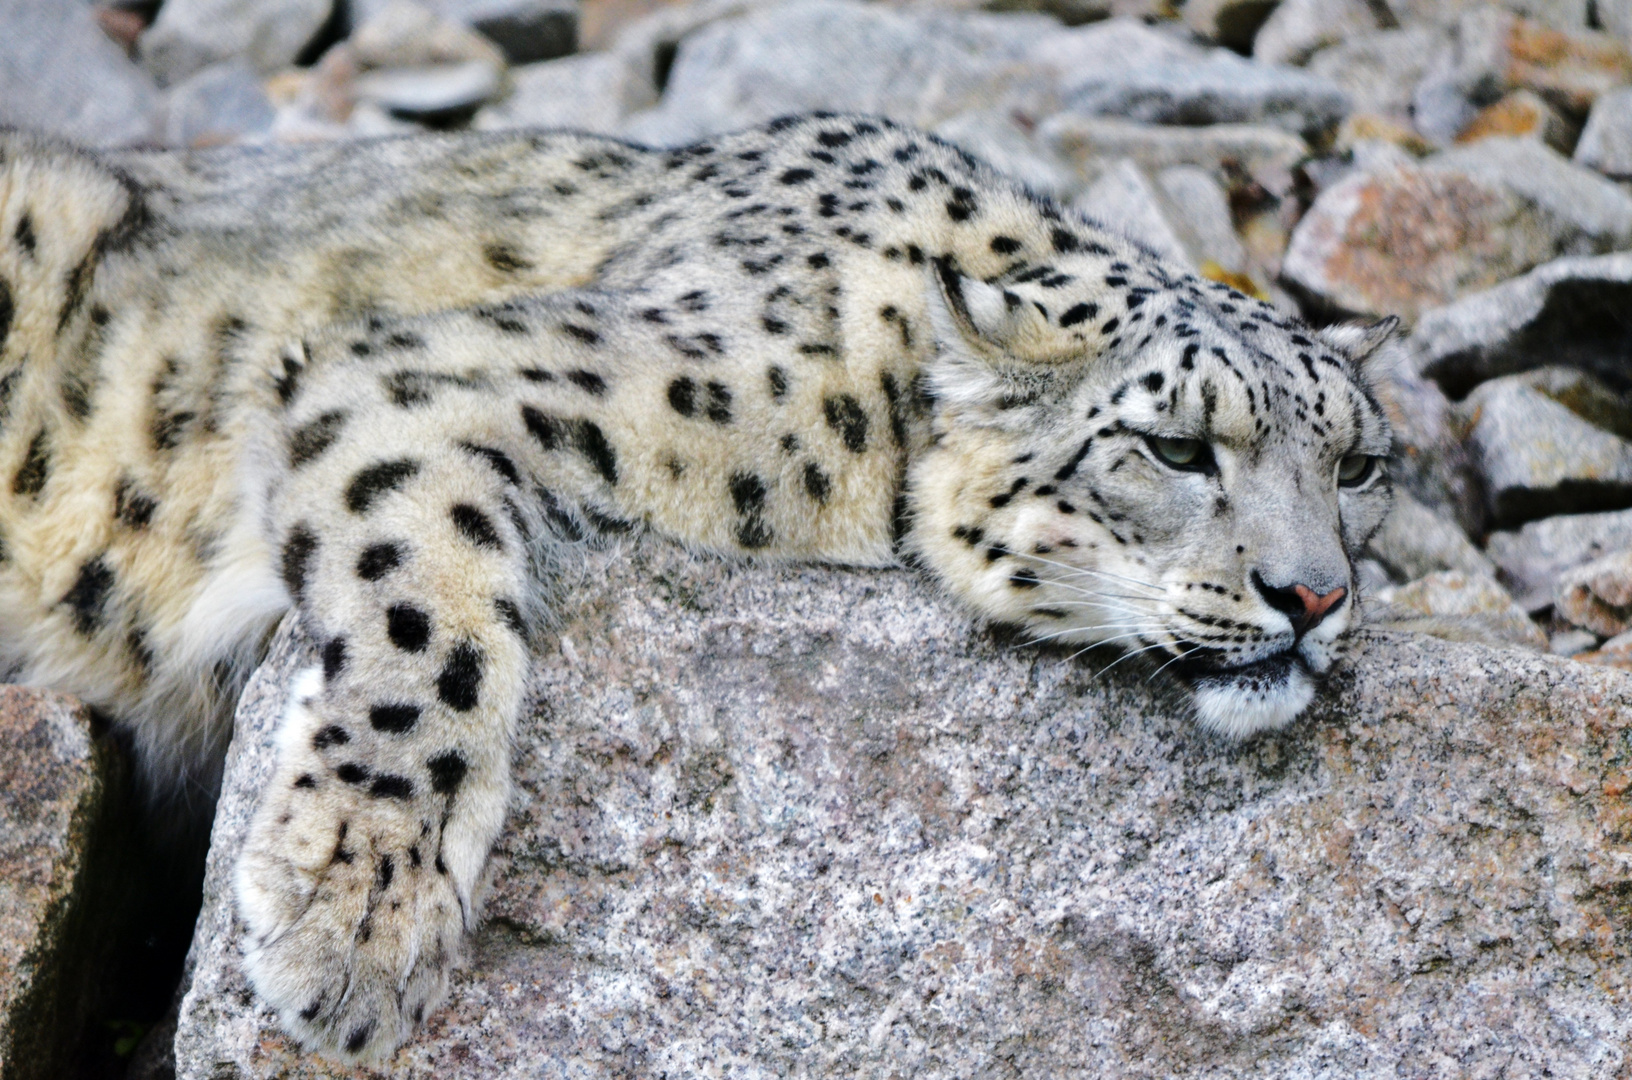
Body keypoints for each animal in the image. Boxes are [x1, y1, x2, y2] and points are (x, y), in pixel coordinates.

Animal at [0, 114, 1396, 1063]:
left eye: (1362, 464)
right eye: (1178, 448)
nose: (1314, 597)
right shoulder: (432, 373)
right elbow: (426, 621)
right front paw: (359, 917)